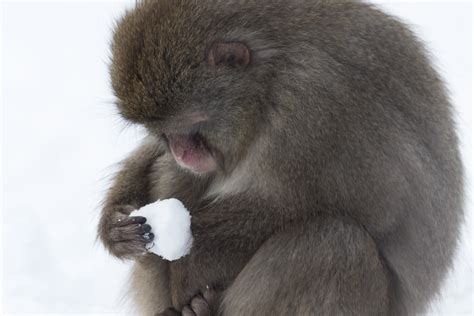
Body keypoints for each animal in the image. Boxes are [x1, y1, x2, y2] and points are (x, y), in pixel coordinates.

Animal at [96, 1, 462, 314]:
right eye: (164, 132)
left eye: (192, 126)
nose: (181, 152)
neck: (269, 82)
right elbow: (155, 158)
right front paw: (114, 226)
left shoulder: (318, 105)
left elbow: (374, 207)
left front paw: (189, 261)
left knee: (334, 243)